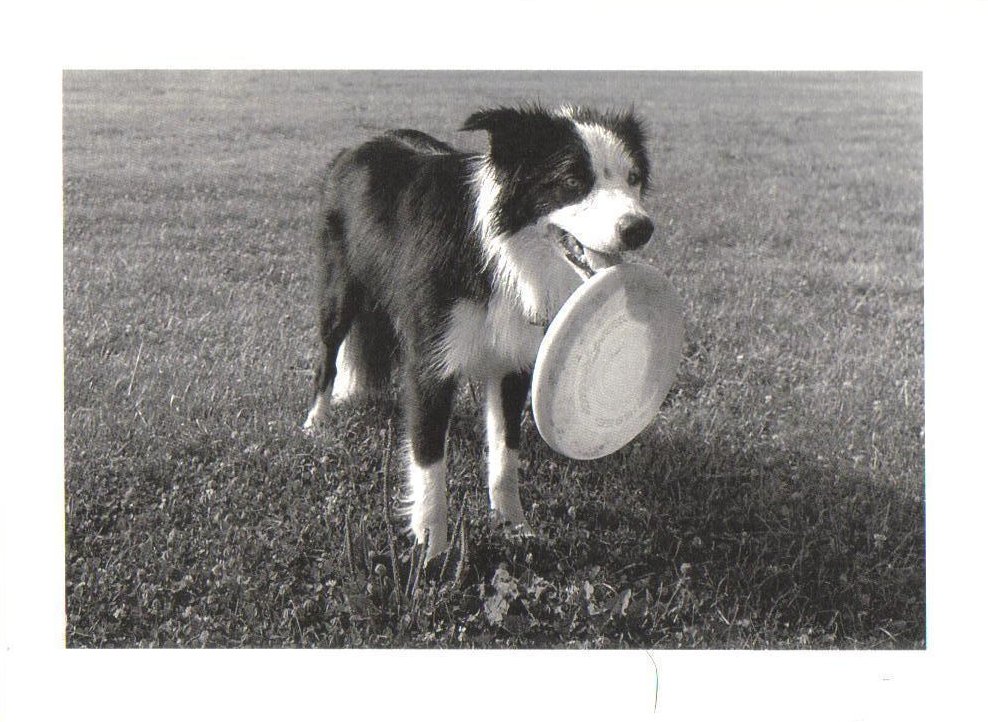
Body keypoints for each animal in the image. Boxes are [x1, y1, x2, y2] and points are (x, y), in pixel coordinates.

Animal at [304, 104, 652, 560]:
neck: (503, 254)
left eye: (633, 178)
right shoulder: (430, 362)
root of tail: (356, 148)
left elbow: (505, 453)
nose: (640, 228)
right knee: (328, 355)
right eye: (574, 181)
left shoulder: (513, 360)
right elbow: (428, 460)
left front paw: (513, 527)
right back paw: (316, 420)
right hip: (339, 288)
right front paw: (432, 552)